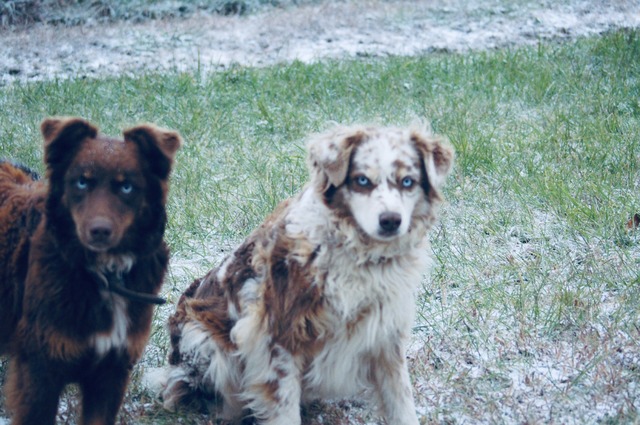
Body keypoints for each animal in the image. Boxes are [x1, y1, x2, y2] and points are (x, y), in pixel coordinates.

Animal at [0, 117, 180, 424]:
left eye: (127, 187)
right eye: (82, 182)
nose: (99, 231)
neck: (104, 273)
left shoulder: (111, 371)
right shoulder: (39, 373)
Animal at [157, 124, 452, 422]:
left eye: (408, 182)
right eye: (362, 180)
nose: (391, 220)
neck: (358, 255)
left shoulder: (385, 331)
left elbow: (401, 401)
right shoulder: (278, 335)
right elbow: (284, 409)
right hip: (206, 343)